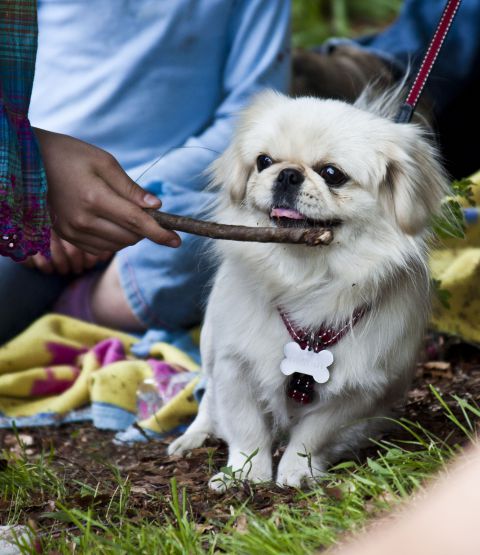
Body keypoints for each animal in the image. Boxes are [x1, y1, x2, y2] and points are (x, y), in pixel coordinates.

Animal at [169, 90, 450, 490]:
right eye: (263, 161)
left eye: (332, 174)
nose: (288, 173)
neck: (303, 278)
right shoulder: (233, 364)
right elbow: (245, 426)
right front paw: (245, 474)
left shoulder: (357, 390)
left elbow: (313, 433)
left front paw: (295, 471)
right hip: (210, 343)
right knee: (207, 397)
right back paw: (193, 436)